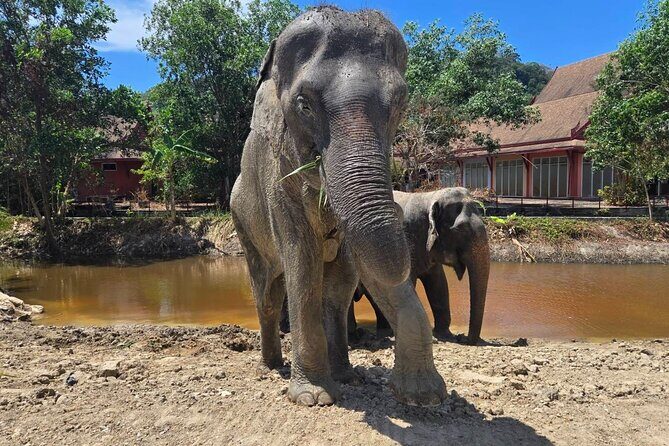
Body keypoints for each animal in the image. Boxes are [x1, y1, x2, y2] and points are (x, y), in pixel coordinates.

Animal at [230, 7, 446, 407]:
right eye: (304, 105)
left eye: (400, 104)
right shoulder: (277, 180)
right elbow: (303, 260)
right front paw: (313, 397)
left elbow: (352, 271)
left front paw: (422, 396)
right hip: (243, 222)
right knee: (267, 293)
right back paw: (271, 367)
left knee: (333, 291)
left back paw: (345, 374)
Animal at [348, 188, 490, 345]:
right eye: (460, 229)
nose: (463, 338)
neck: (428, 197)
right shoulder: (404, 240)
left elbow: (439, 285)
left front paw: (445, 335)